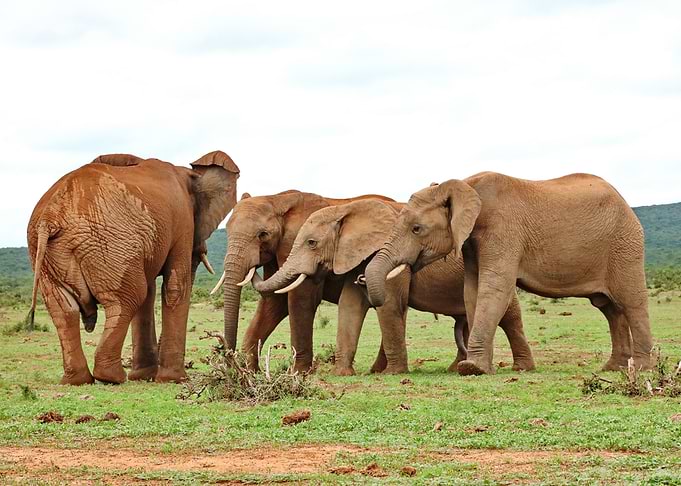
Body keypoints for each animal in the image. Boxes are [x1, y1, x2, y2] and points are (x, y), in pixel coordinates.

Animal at [26, 151, 240, 385]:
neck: (189, 174)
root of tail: (50, 216)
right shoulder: (182, 220)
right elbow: (175, 286)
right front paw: (174, 379)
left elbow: (151, 291)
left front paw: (145, 377)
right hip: (107, 242)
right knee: (128, 298)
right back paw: (112, 377)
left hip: (47, 252)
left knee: (64, 309)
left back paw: (79, 380)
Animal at [211, 190, 394, 372]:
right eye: (227, 231)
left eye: (263, 235)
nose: (230, 363)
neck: (276, 200)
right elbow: (274, 301)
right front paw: (251, 371)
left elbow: (300, 300)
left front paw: (299, 372)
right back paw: (378, 370)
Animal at [252, 198, 535, 375]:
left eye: (311, 243)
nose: (256, 265)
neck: (347, 210)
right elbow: (349, 307)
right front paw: (342, 373)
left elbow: (388, 305)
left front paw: (393, 373)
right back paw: (458, 368)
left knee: (509, 315)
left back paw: (520, 368)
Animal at [364, 172, 653, 375]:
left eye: (416, 229)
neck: (466, 185)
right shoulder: (472, 243)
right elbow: (472, 291)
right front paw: (480, 367)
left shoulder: (503, 231)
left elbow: (494, 287)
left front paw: (472, 369)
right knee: (609, 308)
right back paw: (613, 368)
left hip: (625, 243)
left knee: (631, 301)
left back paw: (641, 368)